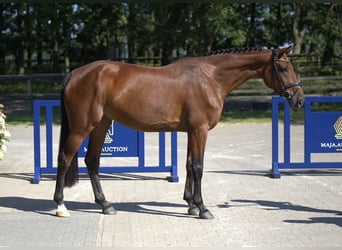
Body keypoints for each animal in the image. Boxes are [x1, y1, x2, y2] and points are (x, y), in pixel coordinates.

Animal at [52, 46, 304, 219]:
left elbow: (189, 165)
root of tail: (75, 73)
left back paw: (105, 205)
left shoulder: (192, 131)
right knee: (65, 159)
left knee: (92, 161)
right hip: (82, 128)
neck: (210, 78)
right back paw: (61, 206)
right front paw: (203, 208)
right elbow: (198, 167)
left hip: (102, 124)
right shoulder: (200, 130)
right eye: (283, 68)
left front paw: (190, 204)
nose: (299, 99)